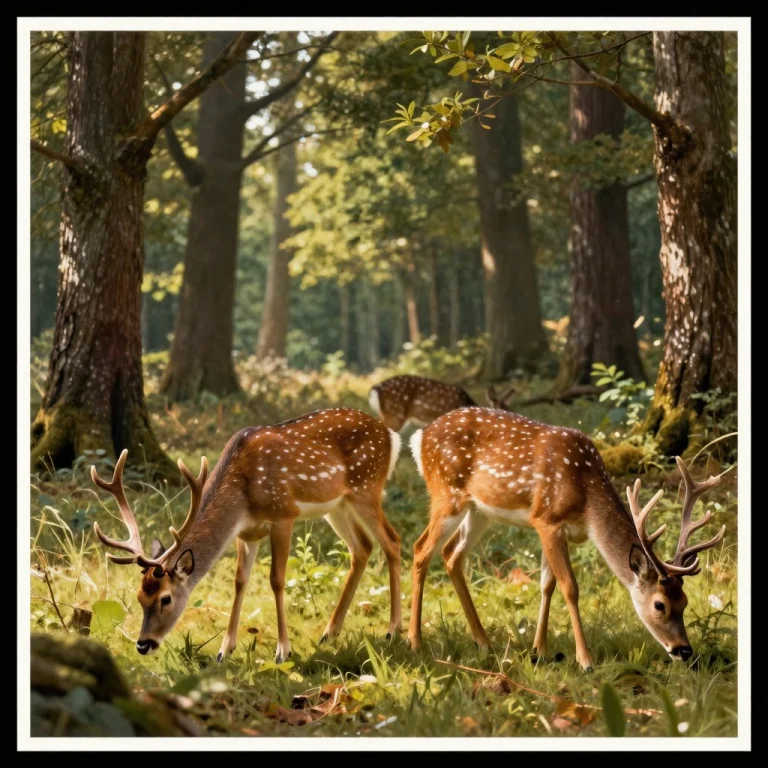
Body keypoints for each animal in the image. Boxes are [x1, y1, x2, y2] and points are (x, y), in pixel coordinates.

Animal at [90, 408, 403, 663]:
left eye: (165, 599)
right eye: (139, 596)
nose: (143, 645)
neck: (242, 496)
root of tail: (392, 437)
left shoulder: (283, 515)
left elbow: (277, 580)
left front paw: (283, 651)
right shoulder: (247, 533)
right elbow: (240, 582)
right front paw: (224, 650)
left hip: (367, 488)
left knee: (392, 541)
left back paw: (393, 630)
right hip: (338, 505)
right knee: (362, 547)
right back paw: (330, 633)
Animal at [407, 406, 726, 670]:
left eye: (684, 602)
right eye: (660, 605)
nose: (684, 650)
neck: (587, 501)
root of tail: (419, 439)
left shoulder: (555, 530)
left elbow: (546, 584)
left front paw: (539, 651)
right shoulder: (547, 520)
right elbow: (570, 587)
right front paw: (585, 661)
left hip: (478, 510)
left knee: (452, 554)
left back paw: (483, 642)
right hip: (446, 493)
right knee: (421, 548)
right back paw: (415, 642)